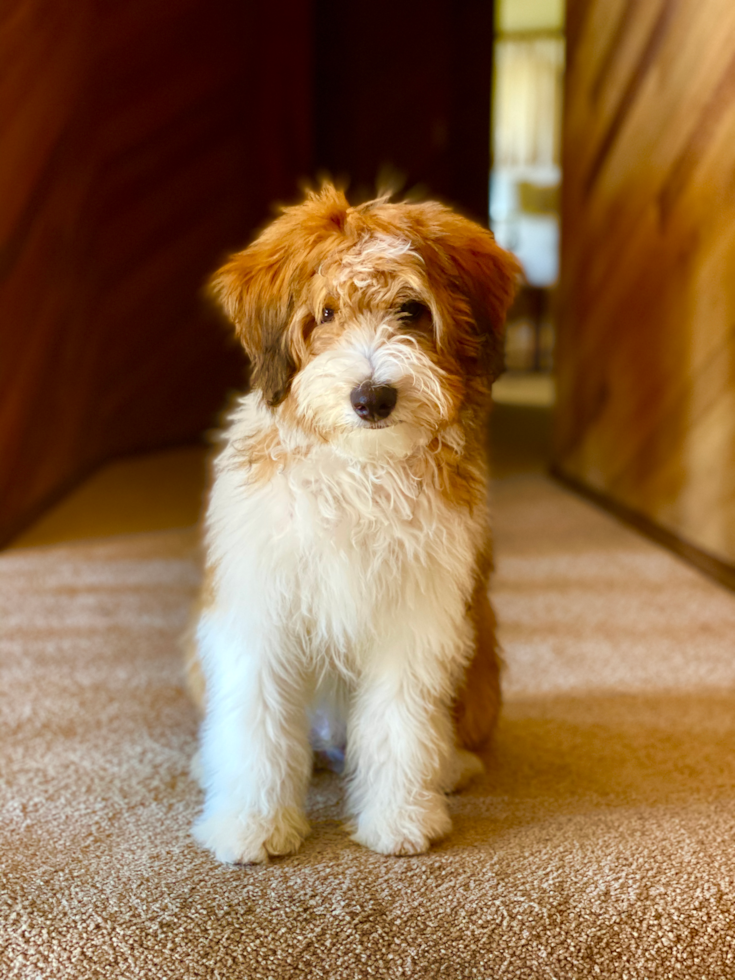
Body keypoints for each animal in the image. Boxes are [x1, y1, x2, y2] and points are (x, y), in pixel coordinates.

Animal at [187, 180, 520, 860]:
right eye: (326, 314)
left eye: (413, 311)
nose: (373, 398)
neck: (359, 467)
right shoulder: (259, 608)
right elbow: (255, 722)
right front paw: (252, 824)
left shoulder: (416, 617)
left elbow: (401, 721)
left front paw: (399, 818)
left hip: (480, 657)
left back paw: (449, 766)